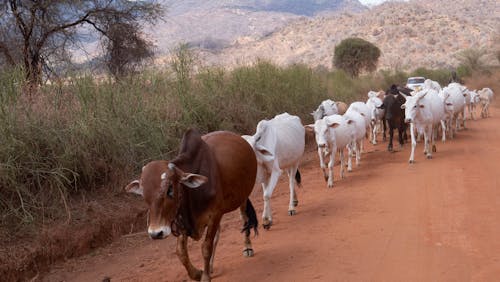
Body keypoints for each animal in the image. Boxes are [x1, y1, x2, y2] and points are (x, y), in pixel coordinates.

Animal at [125, 129, 258, 280]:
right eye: (143, 193)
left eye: (170, 189)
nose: (156, 233)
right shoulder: (182, 221)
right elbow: (181, 252)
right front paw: (197, 273)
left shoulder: (215, 214)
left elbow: (206, 247)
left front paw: (205, 277)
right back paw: (210, 267)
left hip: (243, 198)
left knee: (245, 219)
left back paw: (247, 247)